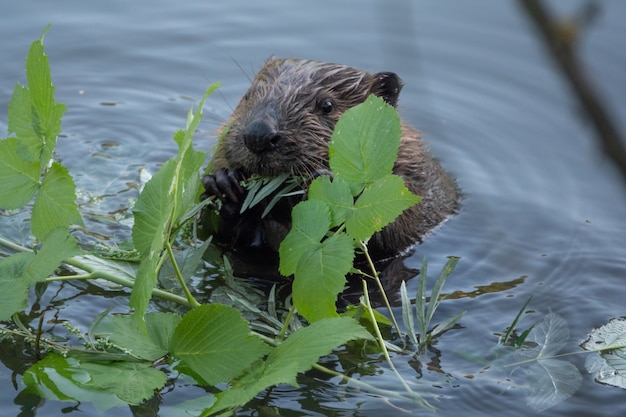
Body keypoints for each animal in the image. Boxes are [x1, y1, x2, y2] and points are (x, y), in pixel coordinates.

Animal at [202, 57, 456, 260]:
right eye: (248, 97)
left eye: (327, 105)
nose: (258, 135)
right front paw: (223, 182)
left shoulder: (416, 182)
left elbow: (388, 228)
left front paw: (325, 181)